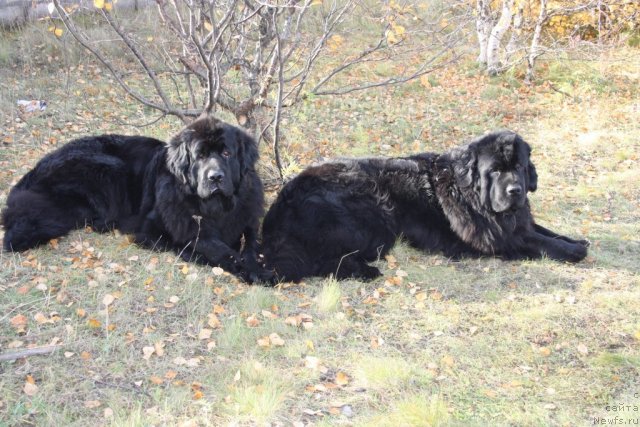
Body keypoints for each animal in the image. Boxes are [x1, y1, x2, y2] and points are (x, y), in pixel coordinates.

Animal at [0, 116, 270, 284]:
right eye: (200, 156)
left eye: (226, 153)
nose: (215, 177)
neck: (215, 207)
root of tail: (35, 170)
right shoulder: (159, 227)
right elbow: (211, 245)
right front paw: (244, 268)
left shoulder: (247, 219)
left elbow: (252, 245)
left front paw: (256, 267)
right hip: (110, 166)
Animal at [262, 130, 592, 284]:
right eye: (495, 171)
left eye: (520, 167)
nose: (515, 190)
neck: (470, 191)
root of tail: (280, 203)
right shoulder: (496, 237)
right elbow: (538, 242)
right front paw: (574, 251)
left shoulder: (518, 221)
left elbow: (542, 230)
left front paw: (576, 240)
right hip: (374, 215)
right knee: (322, 260)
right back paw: (365, 270)